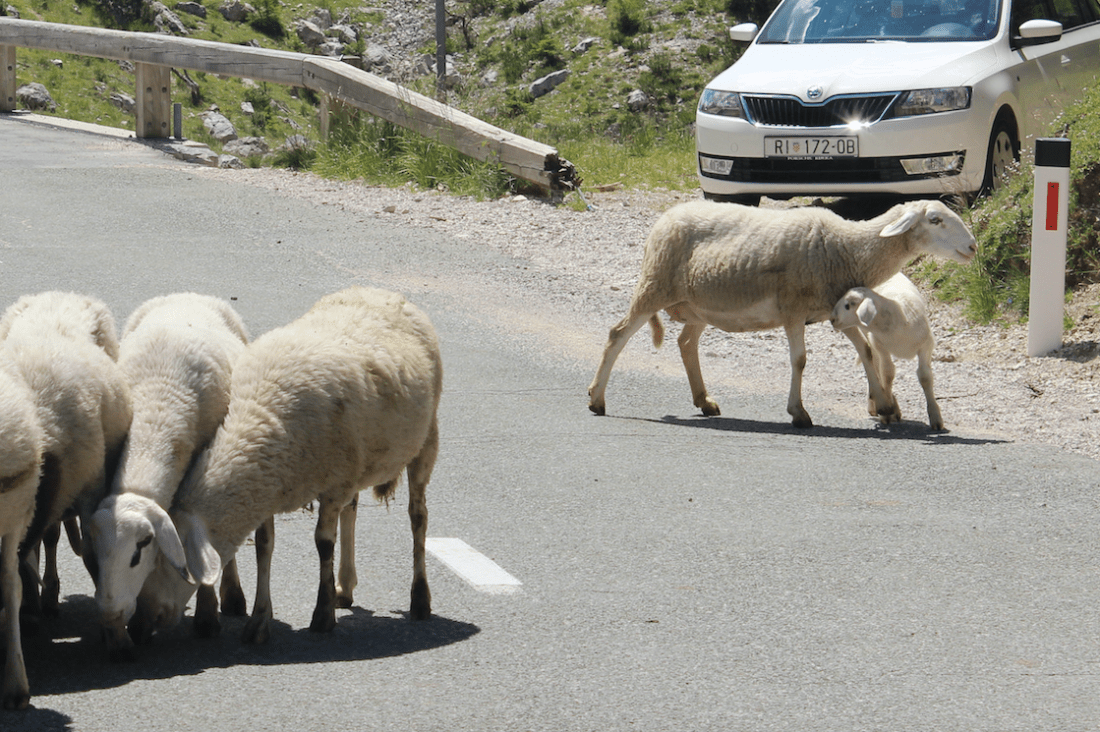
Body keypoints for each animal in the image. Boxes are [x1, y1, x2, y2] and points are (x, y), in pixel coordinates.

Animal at [86, 293, 250, 660]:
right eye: (95, 557)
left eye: (140, 549)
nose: (109, 614)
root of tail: (189, 294)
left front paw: (207, 617)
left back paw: (233, 596)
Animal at [130, 286, 442, 645]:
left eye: (163, 562)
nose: (138, 625)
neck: (260, 414)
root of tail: (378, 291)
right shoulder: (272, 487)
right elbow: (264, 547)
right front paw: (259, 621)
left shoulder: (331, 484)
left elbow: (323, 544)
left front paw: (322, 616)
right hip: (359, 462)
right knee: (352, 511)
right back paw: (345, 588)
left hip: (426, 441)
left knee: (418, 517)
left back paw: (420, 600)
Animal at [830, 272, 944, 430]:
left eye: (847, 305)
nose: (832, 319)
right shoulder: (880, 345)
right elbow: (887, 374)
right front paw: (888, 410)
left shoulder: (926, 346)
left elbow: (925, 377)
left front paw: (935, 417)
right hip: (870, 338)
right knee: (875, 365)